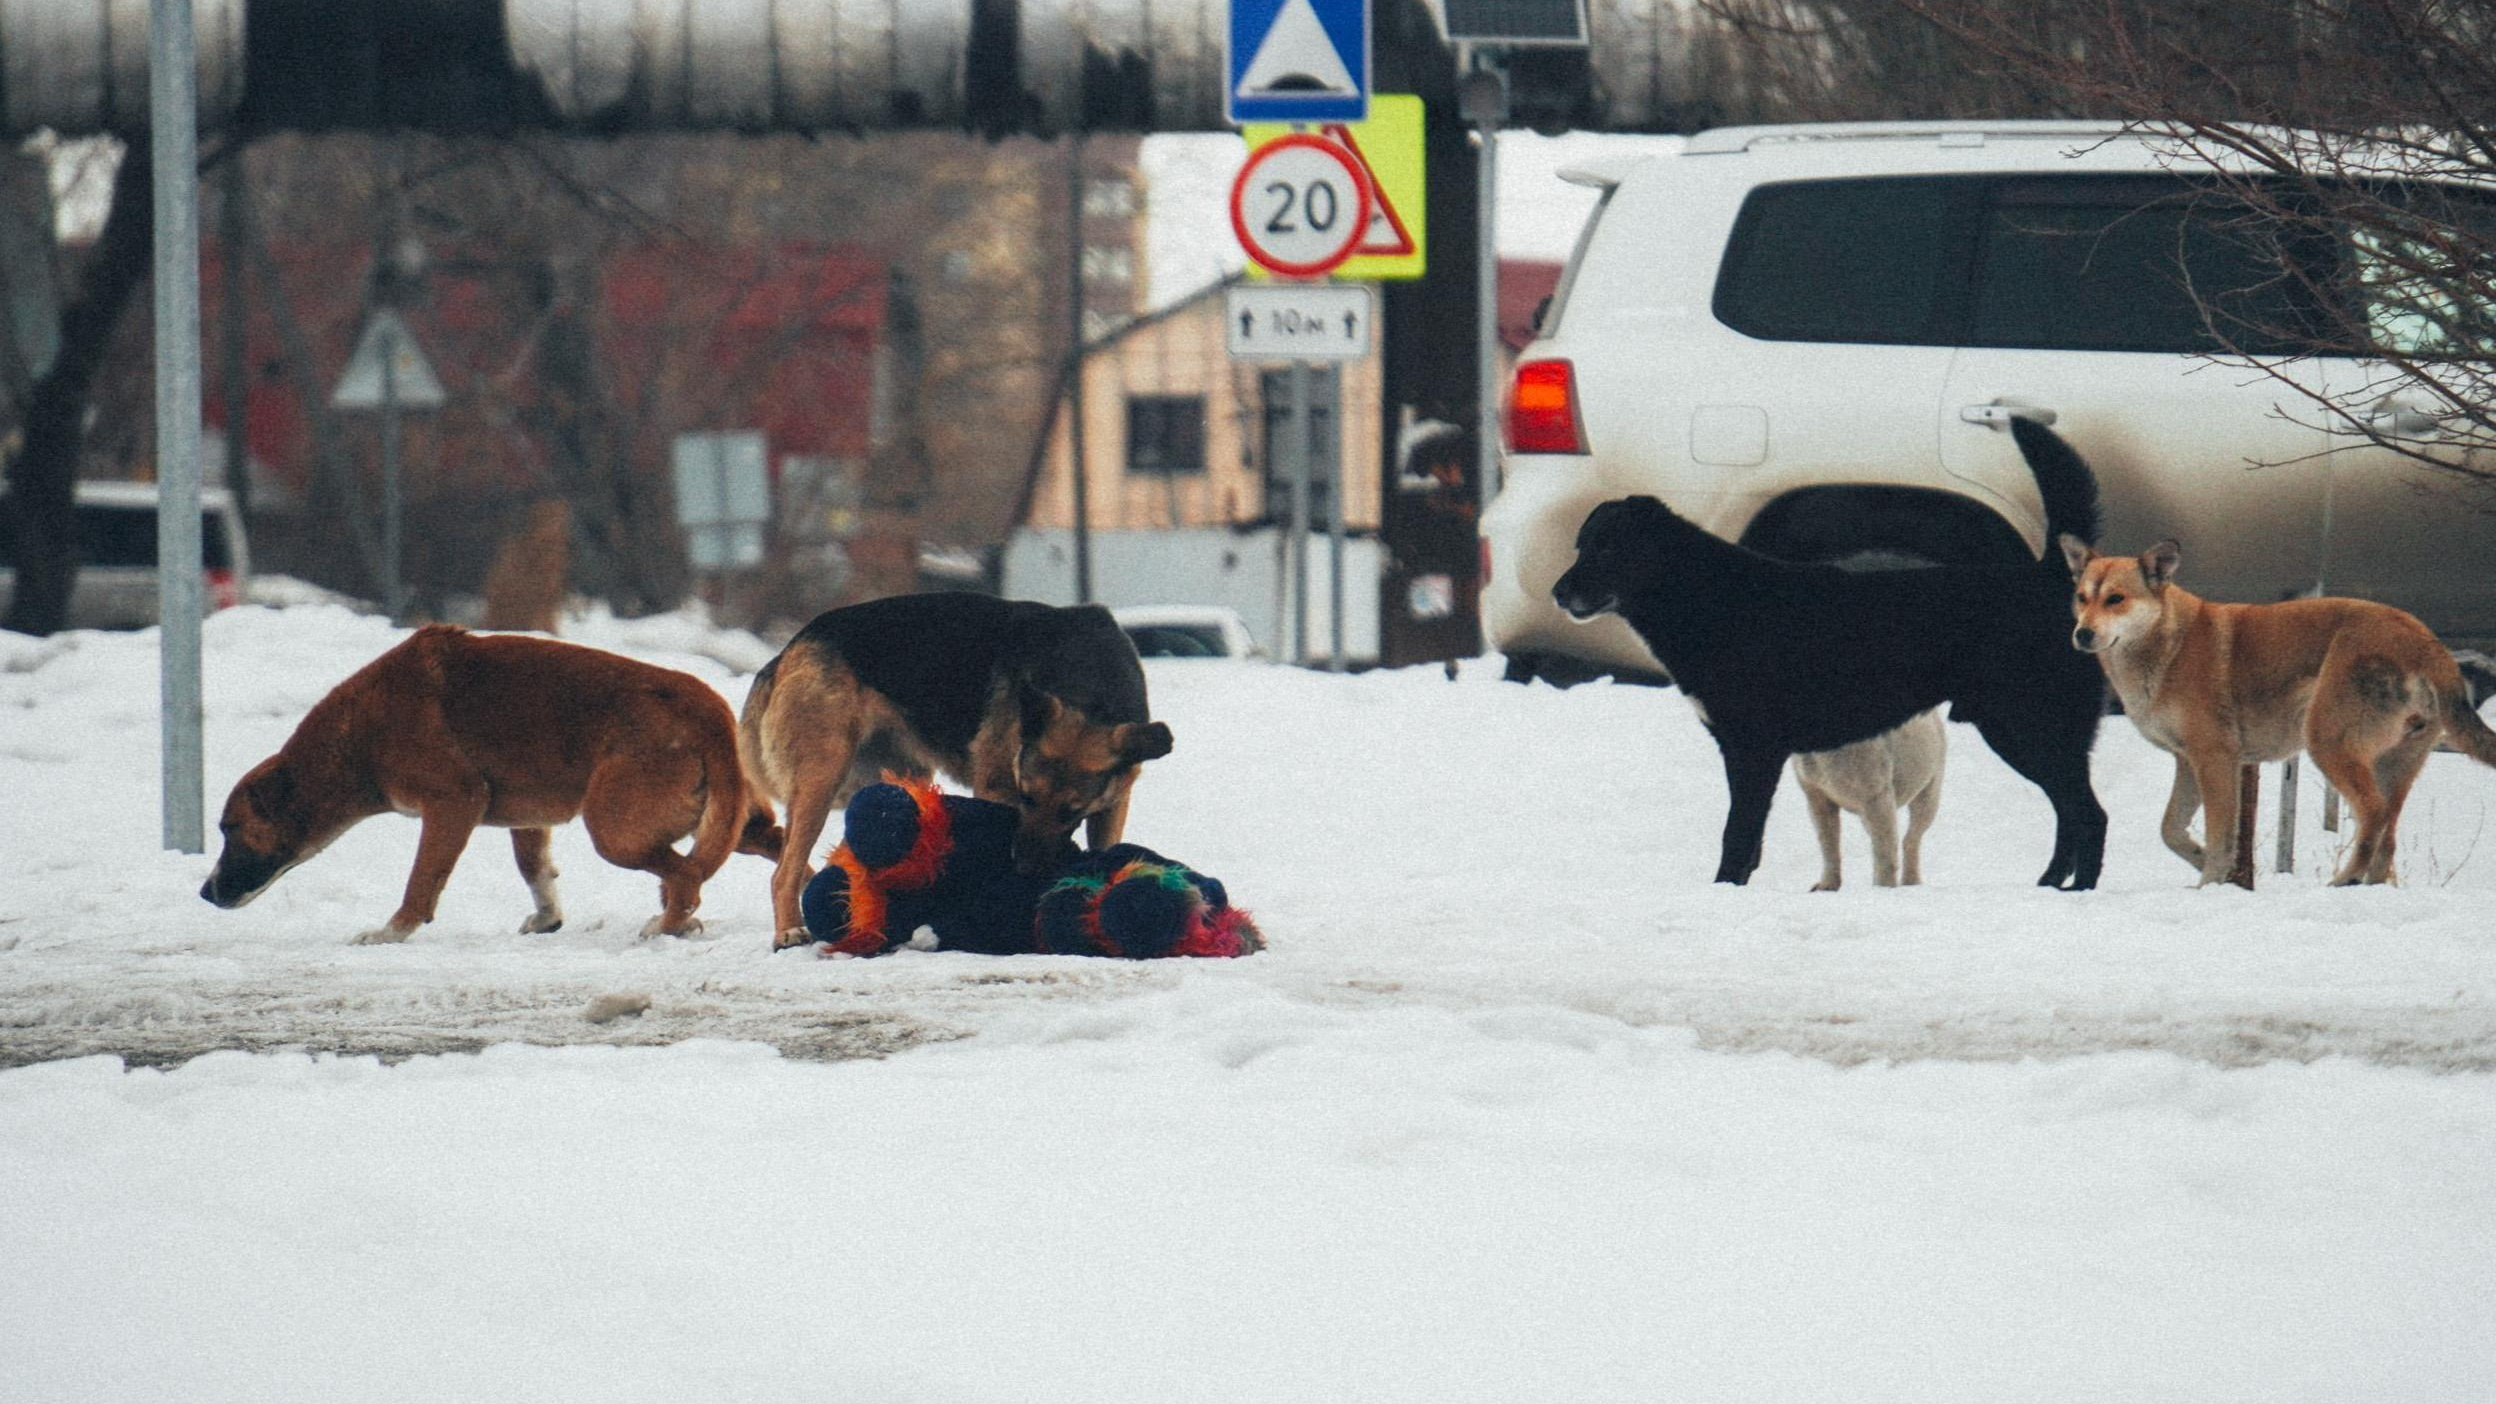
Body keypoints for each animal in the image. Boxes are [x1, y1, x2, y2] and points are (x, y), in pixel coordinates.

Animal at [202, 624, 778, 939]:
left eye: (230, 829)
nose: (205, 893)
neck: (355, 737)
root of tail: (704, 705)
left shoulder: (453, 802)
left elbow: (421, 881)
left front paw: (392, 932)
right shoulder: (528, 818)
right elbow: (534, 870)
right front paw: (547, 920)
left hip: (615, 831)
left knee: (685, 876)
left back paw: (668, 924)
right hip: (733, 827)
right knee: (777, 850)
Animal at [1797, 704, 1946, 889]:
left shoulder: (1876, 793)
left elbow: (1885, 846)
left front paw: (1883, 887)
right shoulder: (1816, 793)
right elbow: (1828, 842)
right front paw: (1825, 886)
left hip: (1930, 783)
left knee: (1912, 835)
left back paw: (1911, 881)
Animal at [2066, 529, 2496, 879]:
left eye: (2116, 599)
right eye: (2082, 598)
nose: (2082, 634)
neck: (2168, 643)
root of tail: (2426, 642)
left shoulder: (2215, 758)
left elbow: (2221, 840)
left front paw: (2211, 884)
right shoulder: (2188, 761)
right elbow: (2171, 830)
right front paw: (2204, 862)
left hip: (2329, 742)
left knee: (2372, 816)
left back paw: (2343, 881)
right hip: (2395, 762)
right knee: (2386, 839)